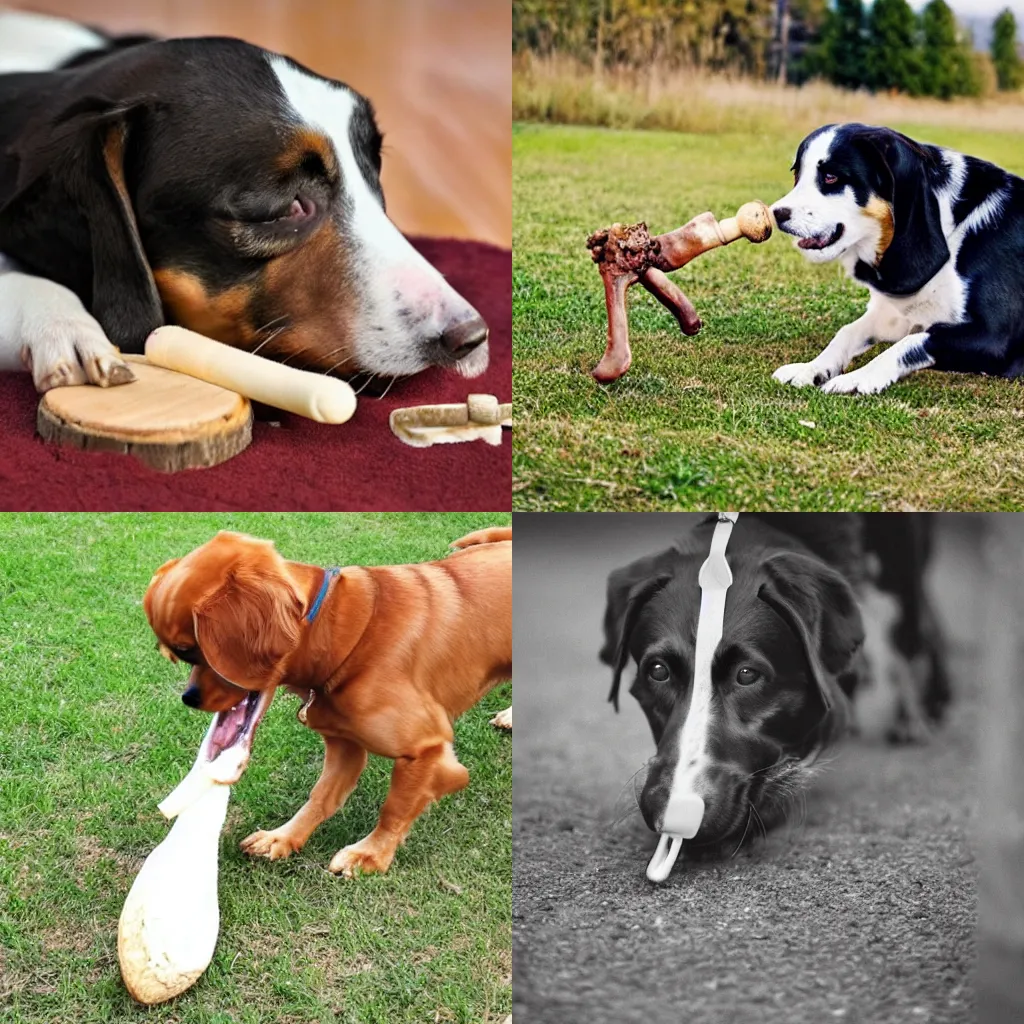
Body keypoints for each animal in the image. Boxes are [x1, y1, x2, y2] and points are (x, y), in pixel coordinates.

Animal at [144, 528, 512, 880]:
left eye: (193, 651)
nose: (189, 698)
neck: (347, 636)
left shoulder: (427, 749)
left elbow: (395, 807)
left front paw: (371, 854)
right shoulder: (345, 747)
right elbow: (321, 796)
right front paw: (283, 837)